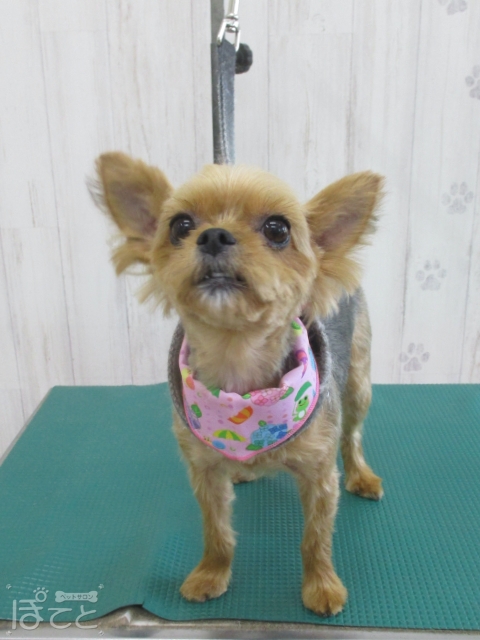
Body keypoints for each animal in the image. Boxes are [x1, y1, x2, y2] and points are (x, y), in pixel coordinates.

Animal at [93, 153, 384, 617]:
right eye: (180, 225)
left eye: (278, 229)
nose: (213, 235)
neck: (238, 370)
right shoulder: (204, 471)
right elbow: (217, 531)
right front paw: (211, 573)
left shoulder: (319, 474)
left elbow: (315, 538)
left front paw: (321, 586)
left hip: (358, 381)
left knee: (352, 433)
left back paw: (361, 475)